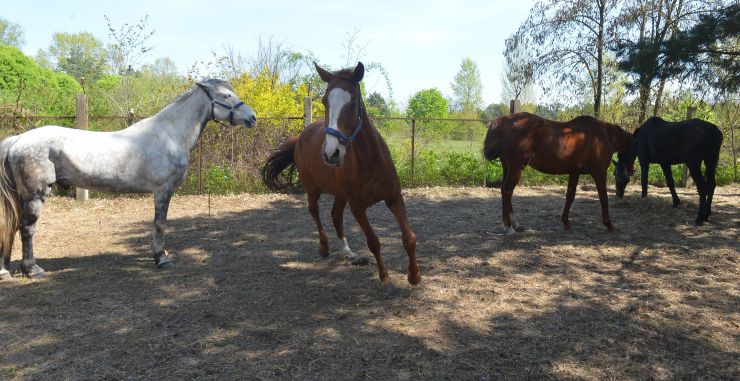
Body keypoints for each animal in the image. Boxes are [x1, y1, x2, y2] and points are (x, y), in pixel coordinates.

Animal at [0, 78, 258, 280]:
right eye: (226, 95)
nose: (252, 117)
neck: (169, 135)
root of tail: (17, 140)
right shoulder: (163, 191)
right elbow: (160, 224)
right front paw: (161, 258)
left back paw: (5, 270)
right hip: (36, 195)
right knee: (27, 228)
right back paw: (32, 269)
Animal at [264, 60, 420, 296]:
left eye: (354, 102)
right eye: (324, 101)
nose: (331, 153)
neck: (370, 161)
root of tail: (300, 137)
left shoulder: (394, 197)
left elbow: (409, 237)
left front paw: (414, 276)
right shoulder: (357, 207)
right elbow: (374, 242)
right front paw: (386, 280)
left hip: (340, 195)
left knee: (335, 216)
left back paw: (349, 253)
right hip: (312, 189)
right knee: (315, 212)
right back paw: (324, 247)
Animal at [482, 111, 632, 233]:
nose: (631, 171)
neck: (602, 136)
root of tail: (502, 121)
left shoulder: (574, 172)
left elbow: (570, 196)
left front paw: (566, 223)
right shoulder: (599, 172)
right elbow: (604, 198)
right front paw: (609, 224)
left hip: (507, 168)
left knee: (505, 191)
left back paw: (515, 224)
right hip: (516, 168)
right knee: (507, 191)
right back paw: (509, 227)